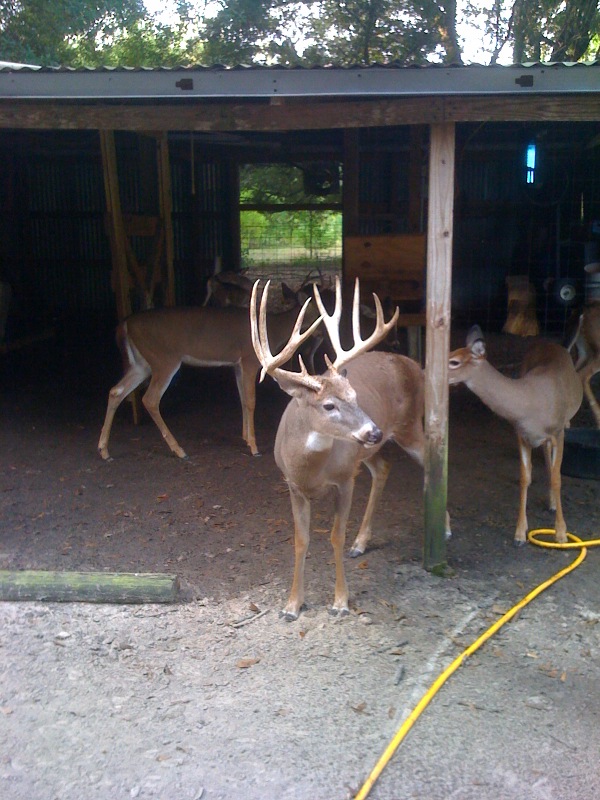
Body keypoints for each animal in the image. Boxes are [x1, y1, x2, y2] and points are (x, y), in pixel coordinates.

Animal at [98, 294, 320, 461]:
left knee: (116, 391)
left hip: (141, 364)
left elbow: (242, 399)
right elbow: (250, 401)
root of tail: (125, 324)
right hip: (163, 359)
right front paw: (254, 447)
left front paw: (245, 437)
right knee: (150, 399)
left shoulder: (237, 364)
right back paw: (179, 450)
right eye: (319, 309)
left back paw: (104, 450)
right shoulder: (249, 359)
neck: (273, 328)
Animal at [250, 275, 447, 620]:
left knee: (432, 459)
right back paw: (361, 543)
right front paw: (292, 605)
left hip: (409, 426)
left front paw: (340, 601)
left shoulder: (344, 480)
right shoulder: (292, 485)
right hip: (364, 450)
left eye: (355, 397)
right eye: (329, 405)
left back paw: (445, 528)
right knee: (383, 467)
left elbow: (335, 536)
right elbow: (301, 541)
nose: (374, 430)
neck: (311, 470)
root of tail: (416, 365)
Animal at [448, 326, 583, 546]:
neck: (529, 404)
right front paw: (519, 534)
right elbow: (524, 477)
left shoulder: (558, 431)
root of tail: (554, 344)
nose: (428, 372)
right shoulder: (521, 435)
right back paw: (551, 502)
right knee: (546, 456)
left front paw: (561, 533)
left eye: (454, 361)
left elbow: (557, 478)